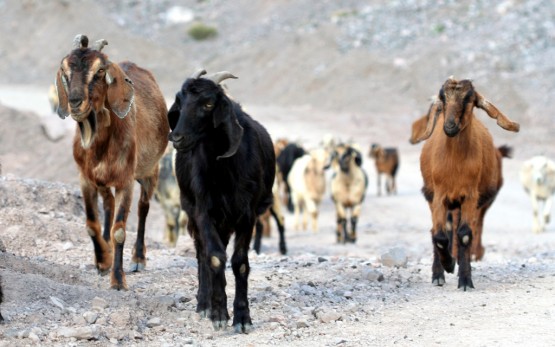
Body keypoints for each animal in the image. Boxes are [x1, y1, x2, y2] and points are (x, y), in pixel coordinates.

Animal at [56, 34, 170, 290]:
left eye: (100, 70)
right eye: (65, 70)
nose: (75, 102)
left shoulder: (125, 181)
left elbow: (120, 230)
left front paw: (118, 279)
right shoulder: (86, 178)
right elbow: (91, 224)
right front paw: (103, 261)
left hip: (151, 171)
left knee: (143, 207)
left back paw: (138, 259)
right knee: (107, 204)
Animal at [167, 69, 276, 334]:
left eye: (208, 104)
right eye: (180, 102)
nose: (177, 138)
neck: (224, 171)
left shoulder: (247, 215)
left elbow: (240, 263)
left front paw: (242, 318)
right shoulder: (204, 212)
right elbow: (215, 257)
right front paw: (217, 313)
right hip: (194, 210)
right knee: (202, 254)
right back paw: (204, 304)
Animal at [416, 78, 520, 290]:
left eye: (468, 100)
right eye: (443, 98)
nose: (450, 126)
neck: (455, 165)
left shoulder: (470, 197)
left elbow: (464, 234)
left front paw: (465, 280)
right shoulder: (439, 197)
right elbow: (440, 236)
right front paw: (448, 265)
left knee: (466, 230)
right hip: (433, 197)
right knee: (435, 231)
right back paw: (438, 274)